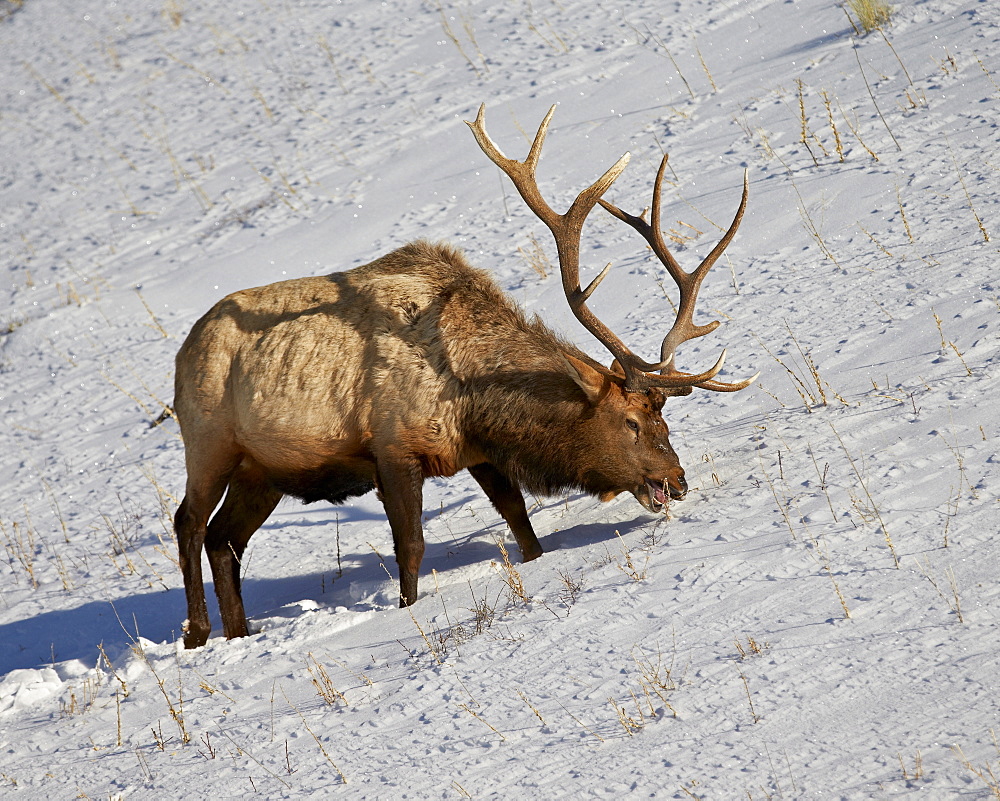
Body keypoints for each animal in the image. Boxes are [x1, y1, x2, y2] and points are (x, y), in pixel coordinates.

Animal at [172, 106, 752, 648]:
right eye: (630, 421)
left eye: (663, 421)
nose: (677, 482)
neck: (474, 397)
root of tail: (181, 353)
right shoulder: (393, 448)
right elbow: (411, 547)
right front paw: (408, 610)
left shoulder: (477, 452)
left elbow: (519, 519)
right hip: (208, 441)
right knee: (189, 523)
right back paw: (197, 632)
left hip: (263, 469)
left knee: (225, 539)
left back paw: (240, 633)